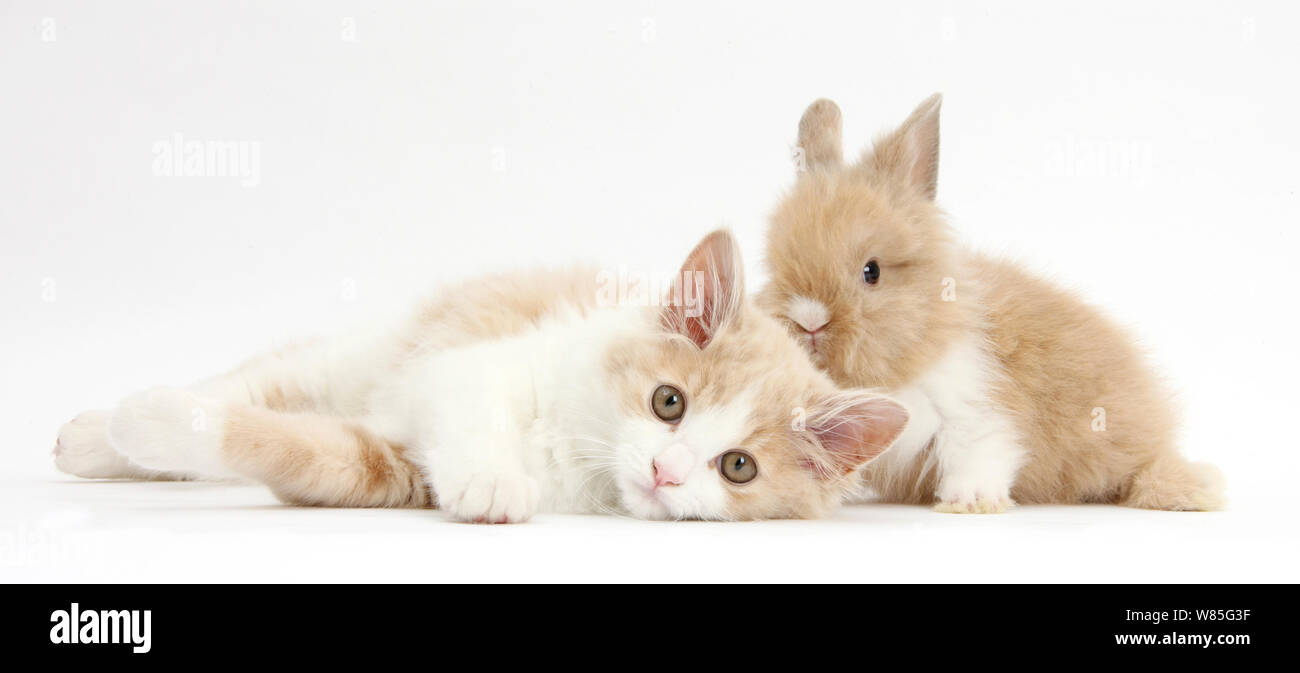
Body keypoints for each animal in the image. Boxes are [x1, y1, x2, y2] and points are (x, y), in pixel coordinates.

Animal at [758, 94, 1224, 513]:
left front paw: (971, 502)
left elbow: (979, 451)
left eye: (871, 272)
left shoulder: (975, 409)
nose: (808, 321)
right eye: (776, 266)